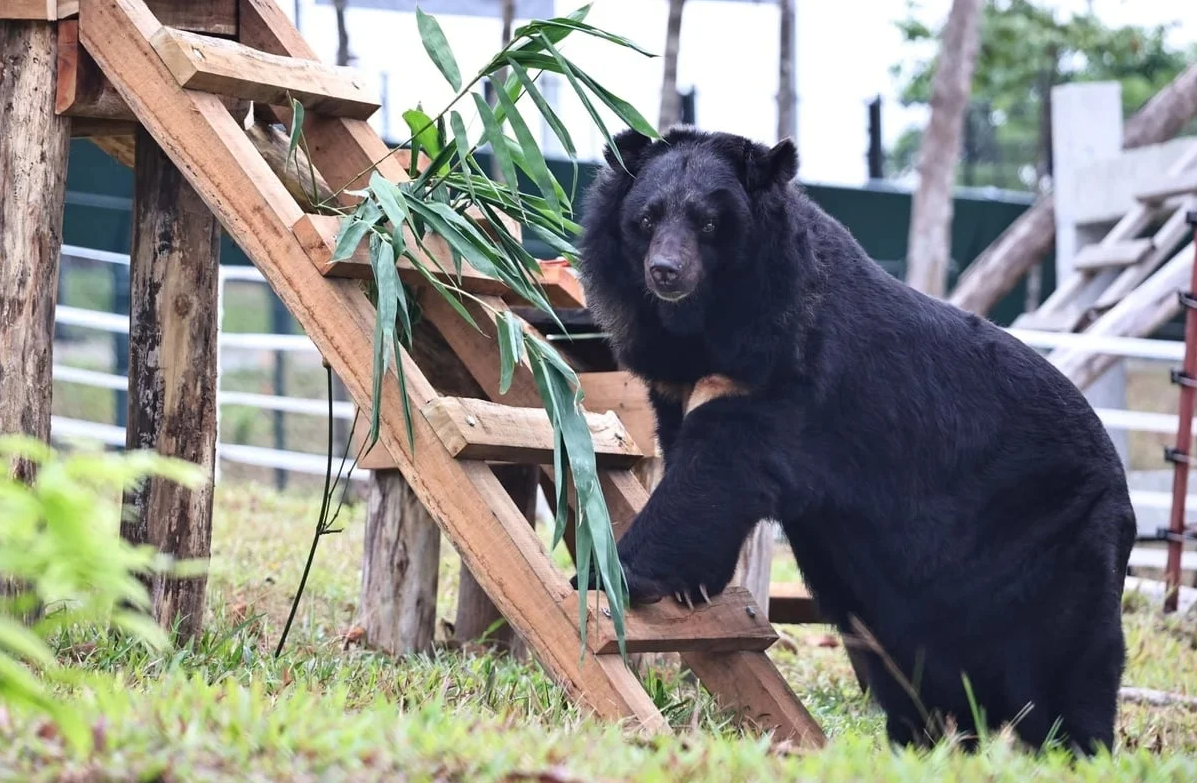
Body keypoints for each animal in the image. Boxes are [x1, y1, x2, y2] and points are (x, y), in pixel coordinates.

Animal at [570, 125, 1136, 757]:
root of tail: (1119, 477)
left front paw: (610, 574)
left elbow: (714, 471)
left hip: (1059, 537)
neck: (706, 322)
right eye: (646, 219)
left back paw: (1077, 746)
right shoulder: (679, 377)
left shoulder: (782, 366)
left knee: (1073, 656)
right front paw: (692, 587)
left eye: (709, 223)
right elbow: (691, 466)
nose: (666, 271)